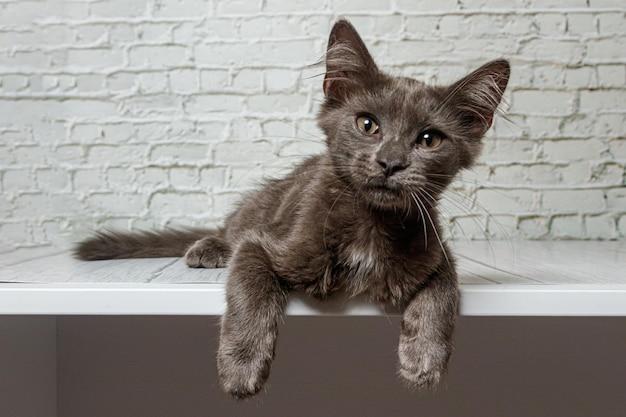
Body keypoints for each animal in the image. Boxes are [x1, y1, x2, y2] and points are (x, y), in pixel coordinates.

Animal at [75, 20, 510, 400]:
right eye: (367, 125)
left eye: (429, 139)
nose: (390, 162)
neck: (371, 224)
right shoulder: (266, 243)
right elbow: (250, 285)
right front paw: (241, 365)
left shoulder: (435, 250)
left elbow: (445, 290)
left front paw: (424, 357)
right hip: (263, 204)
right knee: (232, 230)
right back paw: (209, 247)